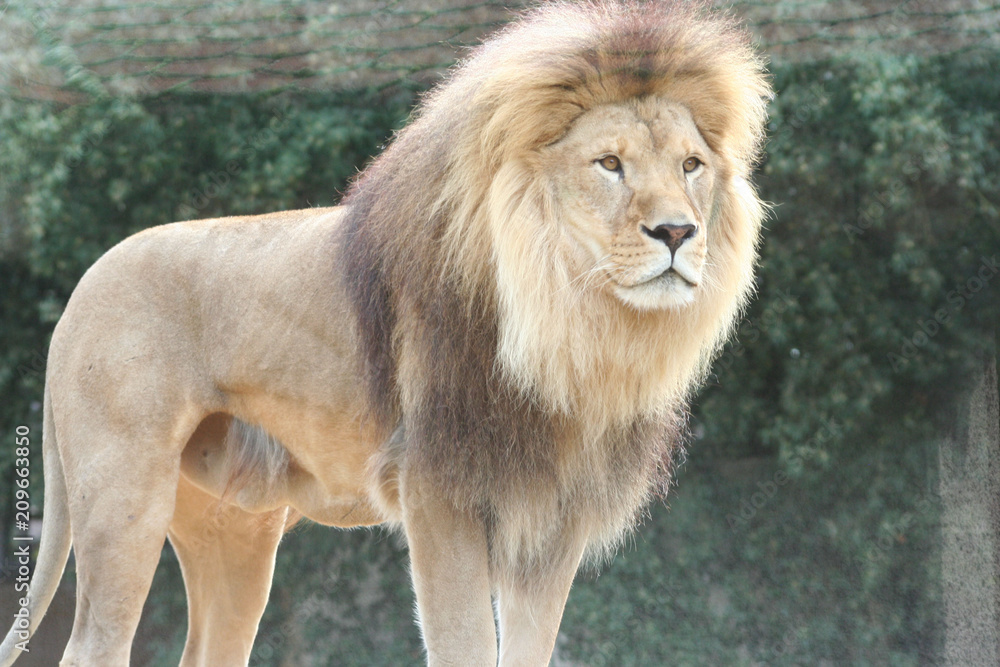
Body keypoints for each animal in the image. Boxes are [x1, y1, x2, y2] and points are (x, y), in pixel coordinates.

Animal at [0, 1, 770, 665]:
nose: (677, 232)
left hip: (237, 530)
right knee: (91, 646)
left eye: (691, 166)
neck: (575, 330)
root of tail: (79, 292)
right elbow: (463, 645)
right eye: (609, 164)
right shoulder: (440, 494)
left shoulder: (555, 523)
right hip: (124, 498)